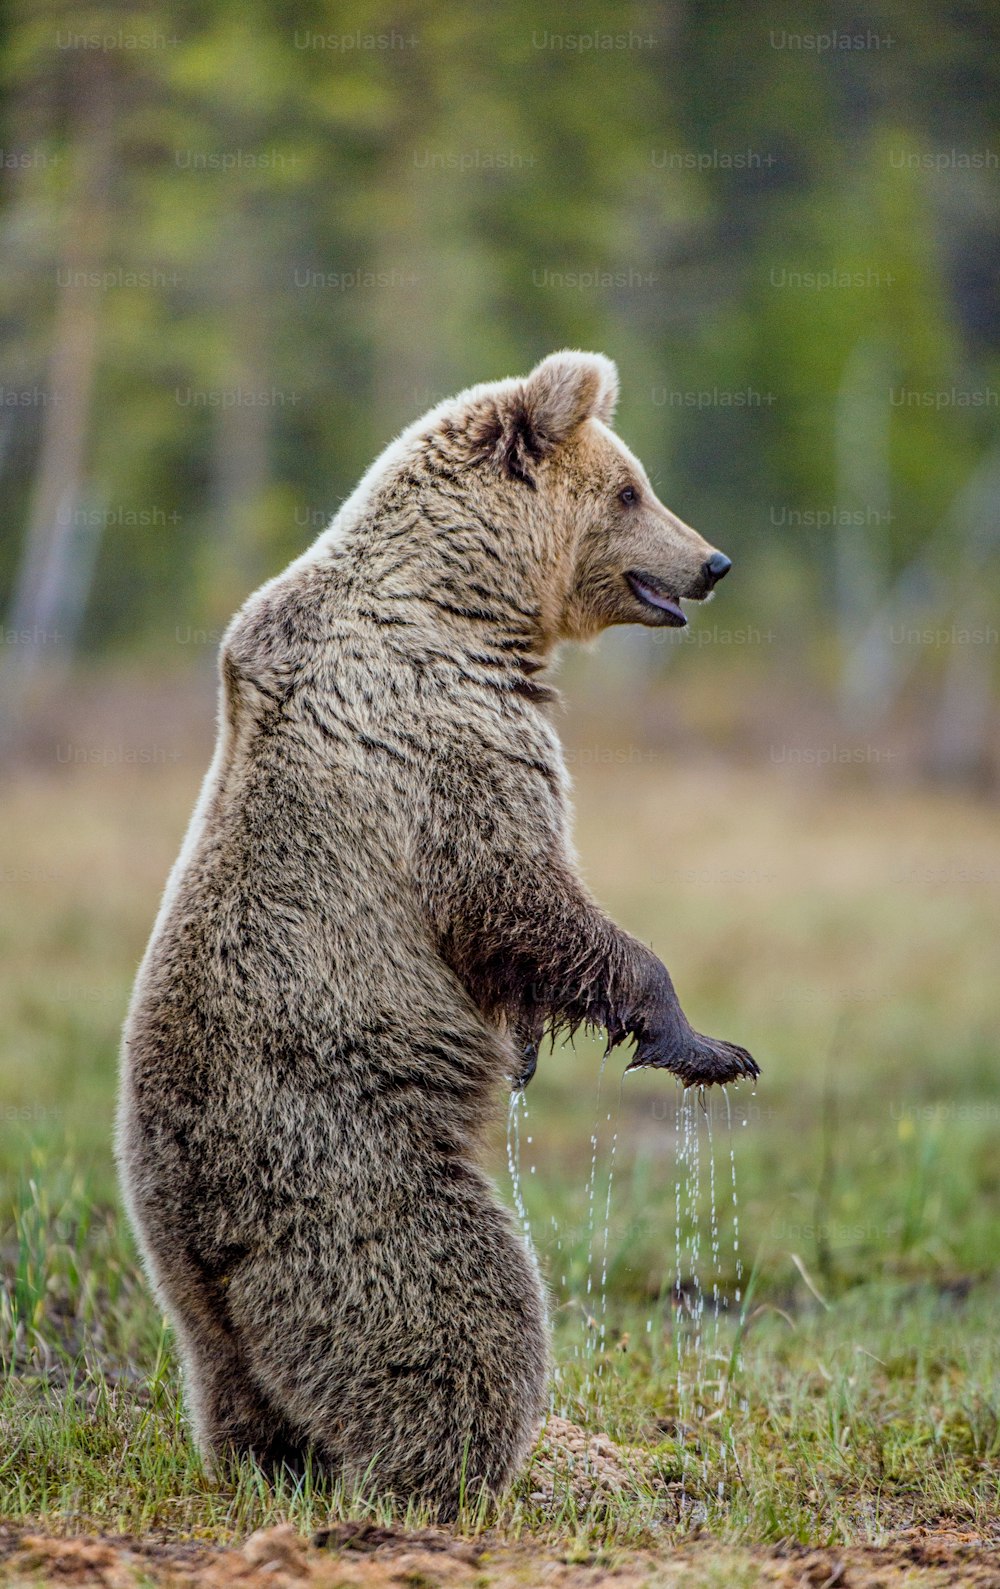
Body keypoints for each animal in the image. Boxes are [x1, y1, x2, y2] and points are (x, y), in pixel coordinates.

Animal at [116, 354, 753, 1519]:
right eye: (632, 490)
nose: (711, 563)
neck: (464, 599)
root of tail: (196, 1229)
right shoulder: (444, 732)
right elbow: (520, 892)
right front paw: (703, 1043)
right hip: (345, 1167)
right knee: (457, 1310)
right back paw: (461, 1473)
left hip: (195, 1288)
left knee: (234, 1382)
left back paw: (277, 1461)